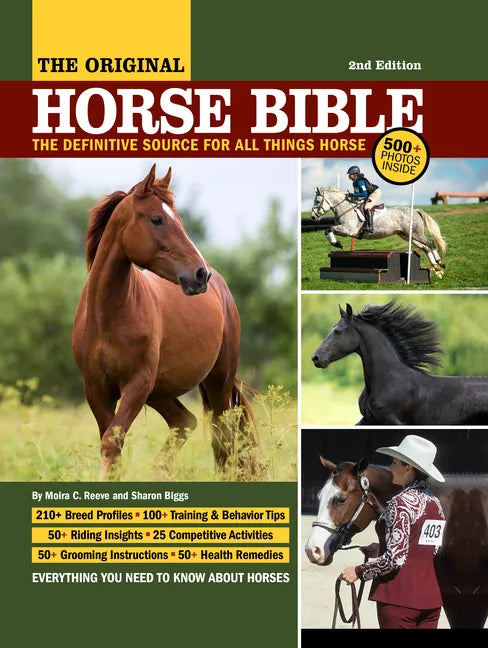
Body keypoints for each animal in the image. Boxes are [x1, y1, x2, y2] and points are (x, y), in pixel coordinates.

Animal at [72, 164, 258, 480]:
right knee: (186, 422)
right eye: (157, 219)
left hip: (216, 382)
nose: (200, 274)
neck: (107, 318)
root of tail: (221, 289)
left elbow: (112, 442)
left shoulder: (137, 384)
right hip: (160, 391)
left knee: (222, 437)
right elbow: (112, 445)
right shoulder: (96, 390)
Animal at [309, 188, 446, 277]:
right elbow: (328, 230)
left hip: (416, 234)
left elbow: (329, 228)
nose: (313, 217)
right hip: (408, 236)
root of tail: (415, 210)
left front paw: (337, 243)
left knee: (430, 242)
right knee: (425, 247)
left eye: (317, 202)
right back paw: (436, 268)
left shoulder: (348, 230)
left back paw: (439, 262)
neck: (345, 208)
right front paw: (336, 243)